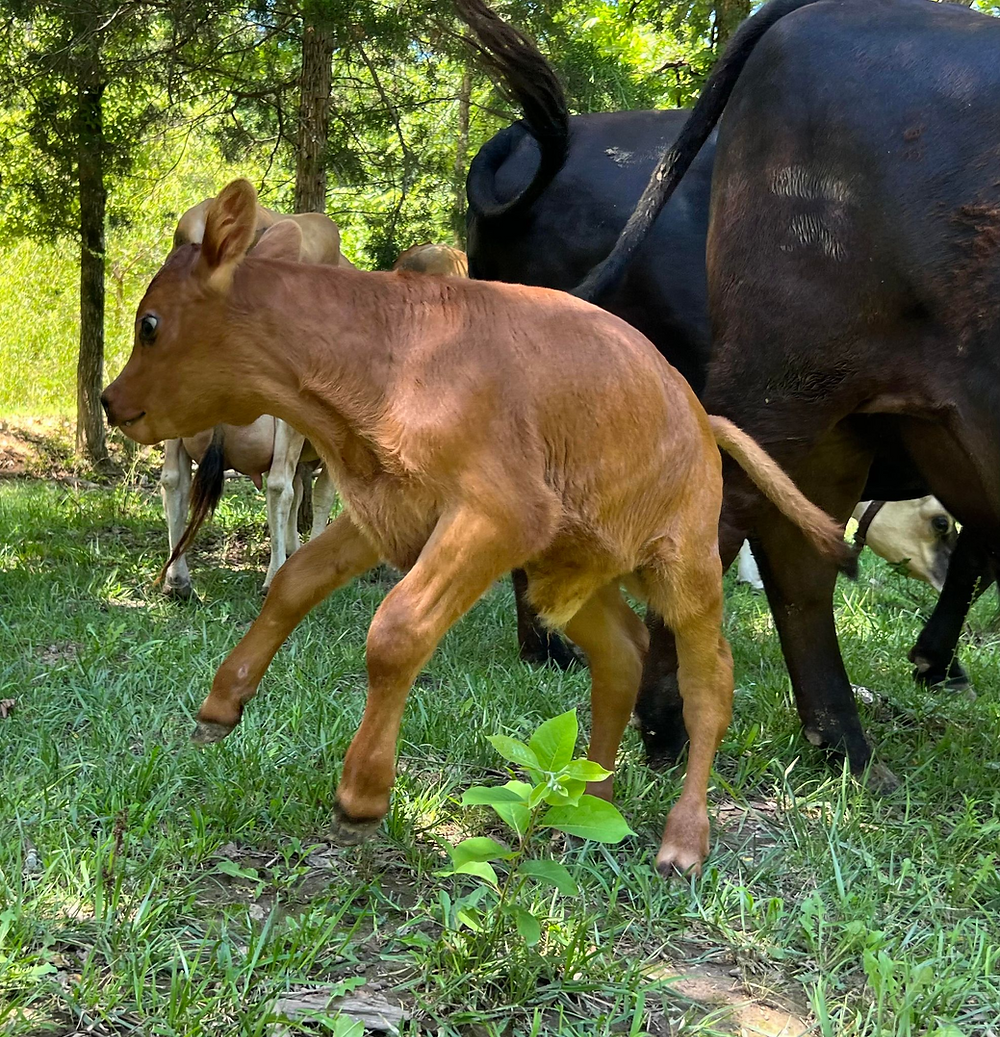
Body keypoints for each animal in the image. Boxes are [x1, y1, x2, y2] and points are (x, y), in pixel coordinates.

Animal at [101, 179, 850, 875]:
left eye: (150, 324)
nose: (111, 401)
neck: (395, 356)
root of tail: (700, 416)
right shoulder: (390, 507)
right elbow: (294, 581)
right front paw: (220, 706)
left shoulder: (495, 514)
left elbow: (398, 630)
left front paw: (361, 795)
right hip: (565, 570)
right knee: (623, 653)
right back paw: (592, 799)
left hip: (684, 566)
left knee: (708, 682)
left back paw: (685, 839)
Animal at [570, 0, 1000, 784]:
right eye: (934, 525)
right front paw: (936, 661)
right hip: (786, 377)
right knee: (726, 528)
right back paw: (668, 725)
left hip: (834, 414)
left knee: (796, 552)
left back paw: (844, 745)